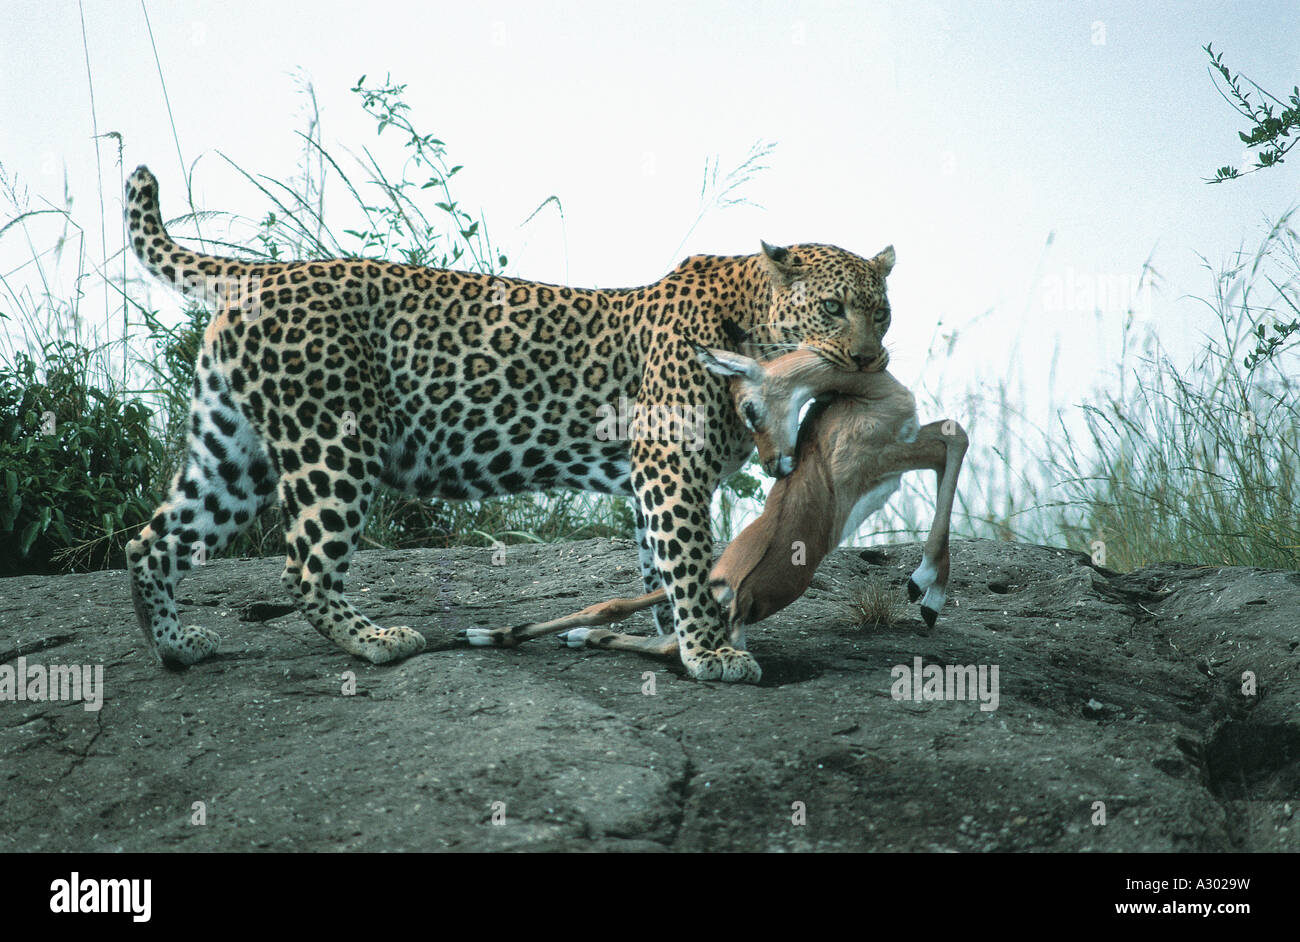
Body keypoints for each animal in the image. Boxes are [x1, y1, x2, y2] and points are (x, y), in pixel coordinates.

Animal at [124, 159, 894, 675]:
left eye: (882, 312)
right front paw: (709, 650)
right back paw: (376, 641)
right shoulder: (670, 469)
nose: (868, 358)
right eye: (832, 308)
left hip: (235, 452)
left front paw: (676, 642)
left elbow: (660, 567)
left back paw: (175, 646)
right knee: (305, 565)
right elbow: (687, 562)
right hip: (331, 442)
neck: (753, 329)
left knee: (152, 541)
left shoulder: (648, 480)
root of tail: (262, 272)